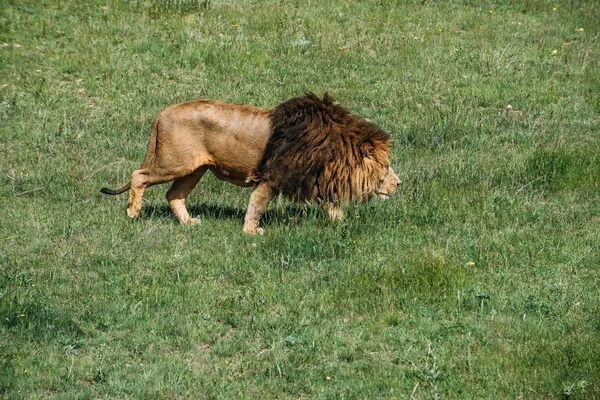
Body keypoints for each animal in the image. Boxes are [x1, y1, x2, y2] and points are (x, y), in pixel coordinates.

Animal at [101, 93, 400, 234]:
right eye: (386, 168)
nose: (399, 183)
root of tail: (162, 112)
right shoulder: (272, 176)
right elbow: (257, 204)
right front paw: (252, 232)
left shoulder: (311, 179)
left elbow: (333, 209)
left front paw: (344, 225)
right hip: (175, 162)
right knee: (139, 175)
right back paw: (133, 213)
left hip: (194, 169)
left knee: (174, 194)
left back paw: (189, 223)